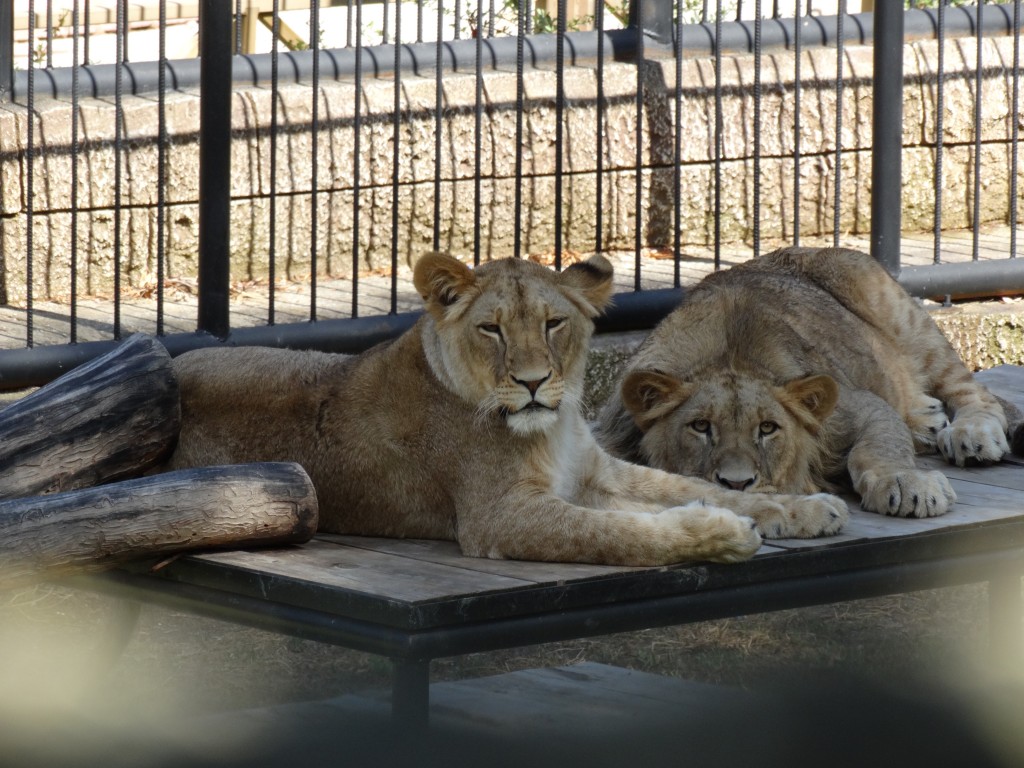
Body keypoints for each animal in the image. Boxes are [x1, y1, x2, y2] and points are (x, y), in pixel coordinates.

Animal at [165, 250, 847, 565]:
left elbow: (690, 486)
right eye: (491, 329)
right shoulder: (500, 518)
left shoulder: (598, 472)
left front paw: (803, 508)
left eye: (553, 324)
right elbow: (616, 533)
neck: (555, 429)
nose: (533, 382)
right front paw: (720, 532)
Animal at [593, 246, 1015, 520]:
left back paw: (969, 435)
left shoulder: (857, 406)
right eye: (700, 426)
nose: (736, 484)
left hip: (901, 314)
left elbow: (881, 446)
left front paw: (906, 483)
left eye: (767, 428)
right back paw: (925, 422)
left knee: (975, 393)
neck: (727, 355)